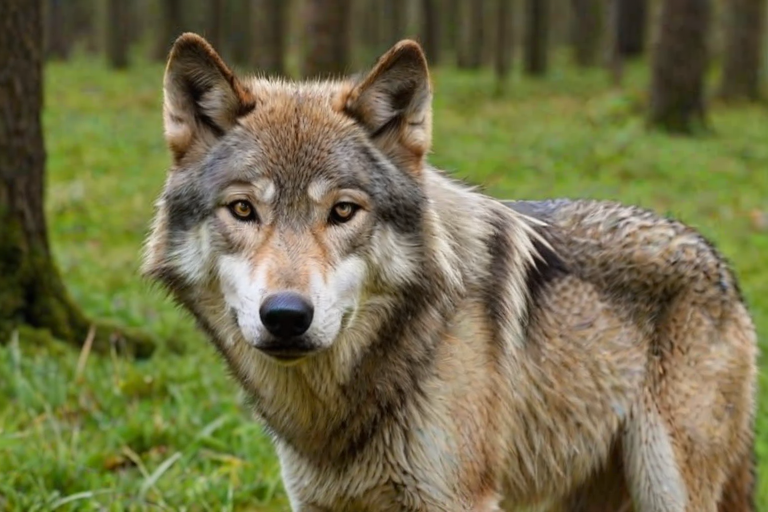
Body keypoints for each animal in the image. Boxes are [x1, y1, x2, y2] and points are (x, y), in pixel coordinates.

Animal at [142, 33, 758, 511]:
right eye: (244, 209)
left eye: (342, 211)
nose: (287, 316)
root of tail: (717, 260)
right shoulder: (317, 501)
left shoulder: (458, 497)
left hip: (667, 484)